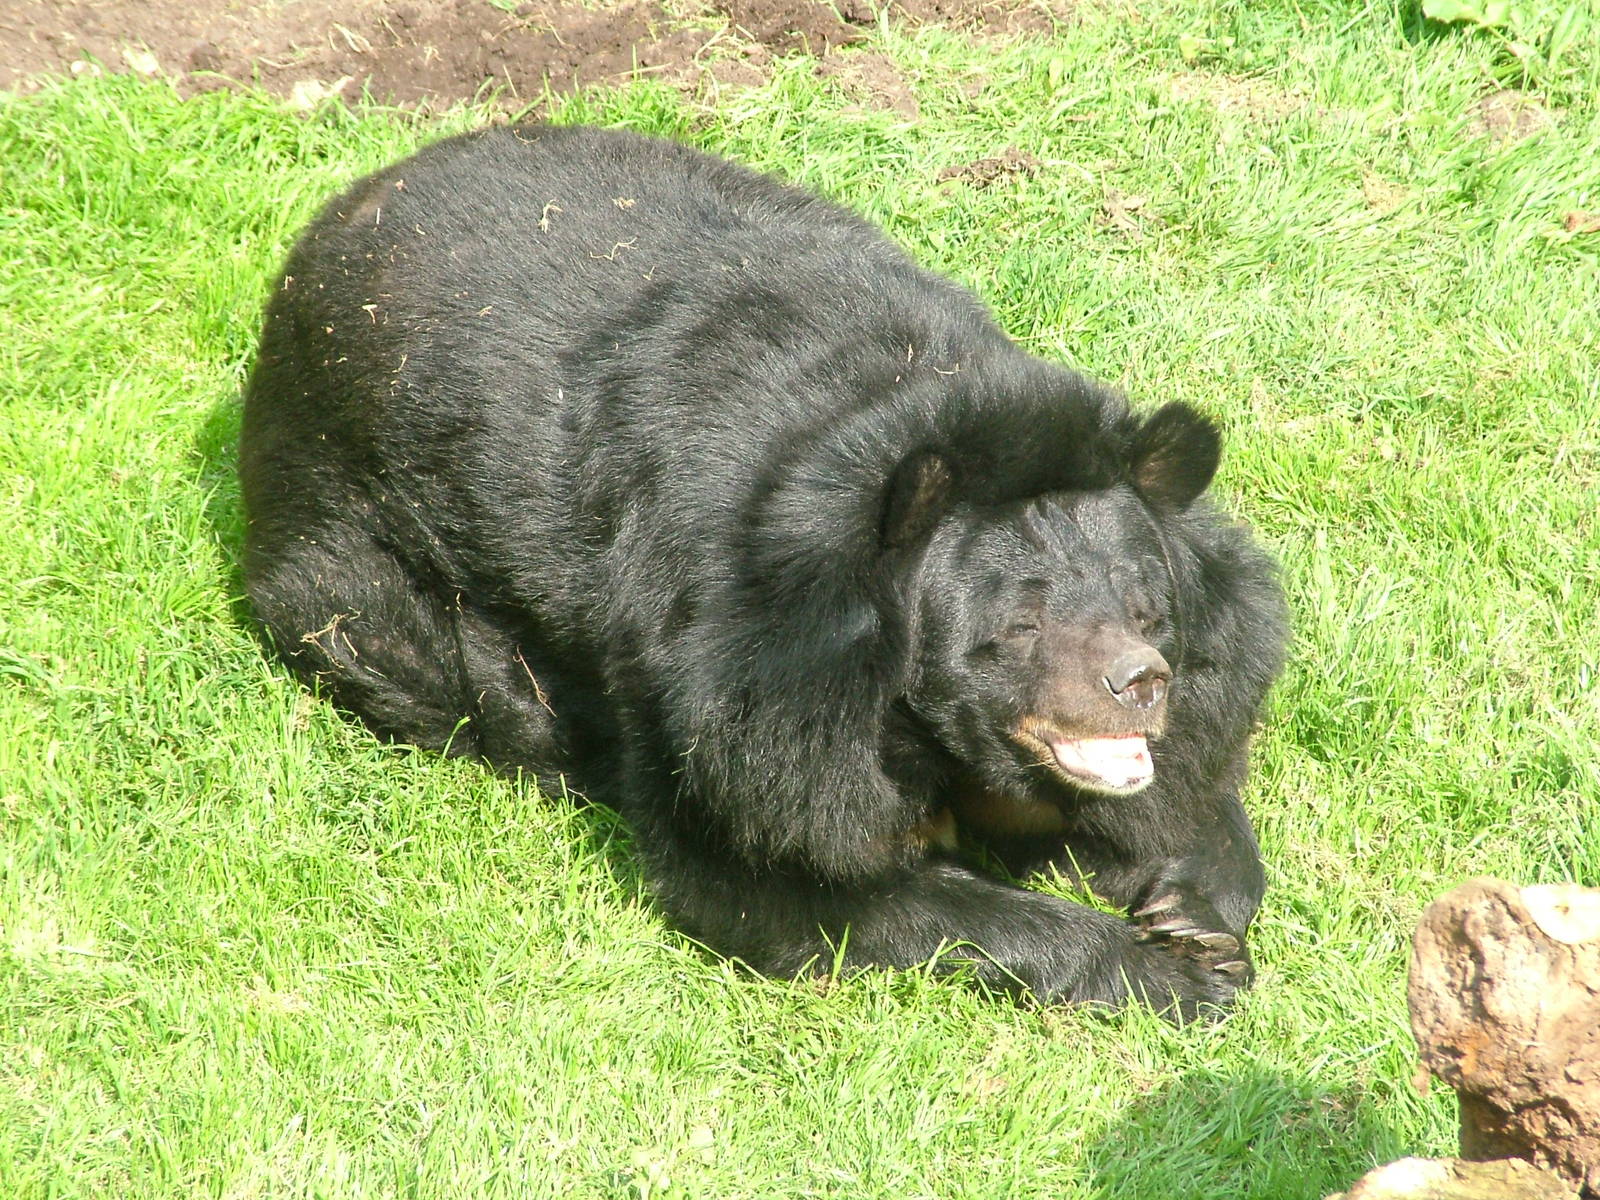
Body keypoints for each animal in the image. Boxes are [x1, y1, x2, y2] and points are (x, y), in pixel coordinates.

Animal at [239, 124, 1287, 1019]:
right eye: (1020, 628)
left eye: (1147, 611)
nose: (1138, 684)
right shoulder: (729, 686)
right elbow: (784, 881)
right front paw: (1167, 972)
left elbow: (1204, 772)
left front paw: (1188, 906)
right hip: (355, 559)